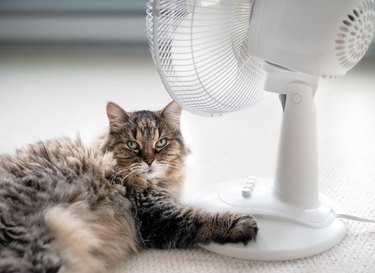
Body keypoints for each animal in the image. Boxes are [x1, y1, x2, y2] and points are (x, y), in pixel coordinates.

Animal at [0, 101, 258, 272]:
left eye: (161, 143)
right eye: (133, 145)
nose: (149, 160)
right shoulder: (157, 215)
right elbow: (202, 217)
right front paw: (243, 223)